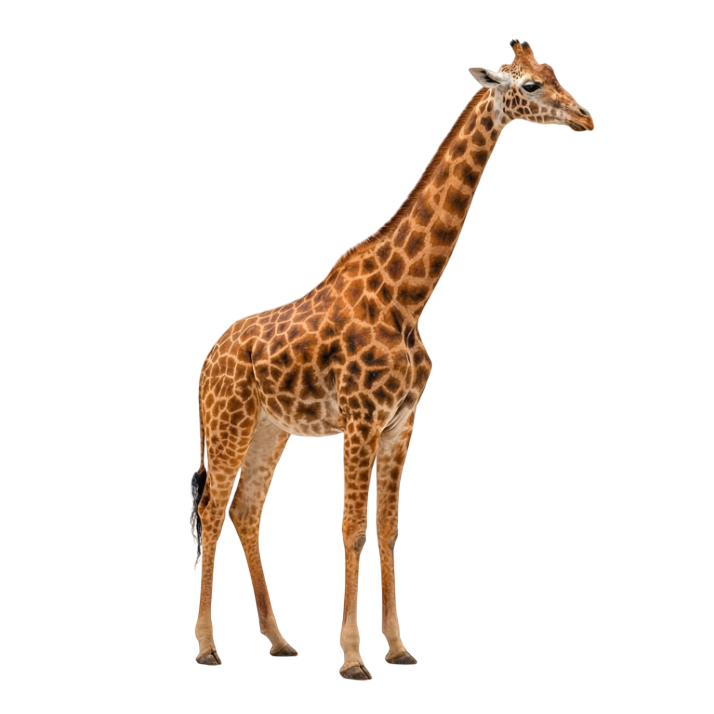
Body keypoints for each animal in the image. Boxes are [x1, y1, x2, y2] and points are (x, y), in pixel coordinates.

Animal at [190, 38, 594, 680]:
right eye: (529, 85)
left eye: (555, 73)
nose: (587, 118)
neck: (409, 297)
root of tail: (208, 357)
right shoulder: (360, 418)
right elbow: (352, 528)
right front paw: (353, 656)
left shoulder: (402, 422)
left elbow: (389, 530)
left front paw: (399, 646)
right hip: (227, 422)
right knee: (211, 508)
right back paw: (208, 647)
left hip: (270, 429)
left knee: (247, 511)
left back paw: (278, 640)